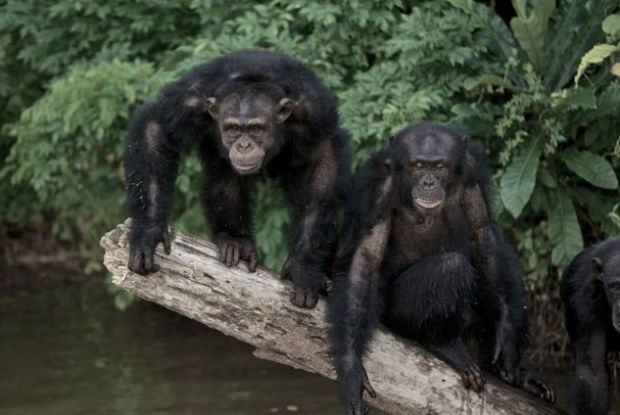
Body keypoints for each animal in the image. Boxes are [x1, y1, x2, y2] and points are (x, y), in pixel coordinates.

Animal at [124, 49, 348, 308]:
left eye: (256, 129)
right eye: (233, 129)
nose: (243, 145)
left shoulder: (314, 112)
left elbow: (323, 165)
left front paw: (304, 268)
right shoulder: (191, 101)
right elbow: (157, 126)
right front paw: (148, 231)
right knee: (226, 176)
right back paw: (235, 241)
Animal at [326, 122, 556, 414]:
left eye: (439, 166)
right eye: (418, 165)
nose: (428, 182)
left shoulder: (470, 173)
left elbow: (483, 237)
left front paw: (507, 345)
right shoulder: (378, 189)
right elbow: (365, 261)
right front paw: (351, 372)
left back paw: (515, 373)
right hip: (397, 315)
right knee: (451, 266)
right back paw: (444, 344)